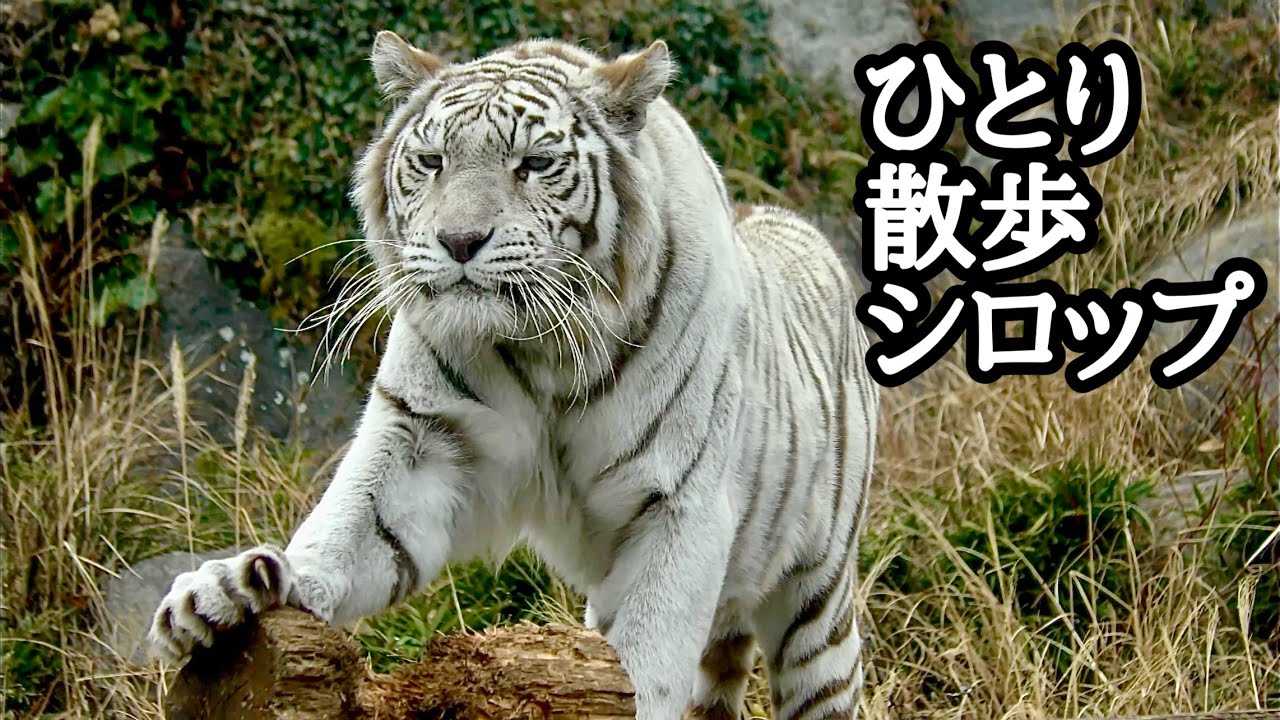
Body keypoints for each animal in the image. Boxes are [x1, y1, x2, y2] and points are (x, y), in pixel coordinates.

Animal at [149, 31, 878, 720]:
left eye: (535, 165)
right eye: (432, 162)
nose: (459, 241)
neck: (544, 350)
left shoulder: (680, 498)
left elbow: (649, 647)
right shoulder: (423, 436)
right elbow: (350, 529)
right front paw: (232, 589)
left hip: (818, 601)